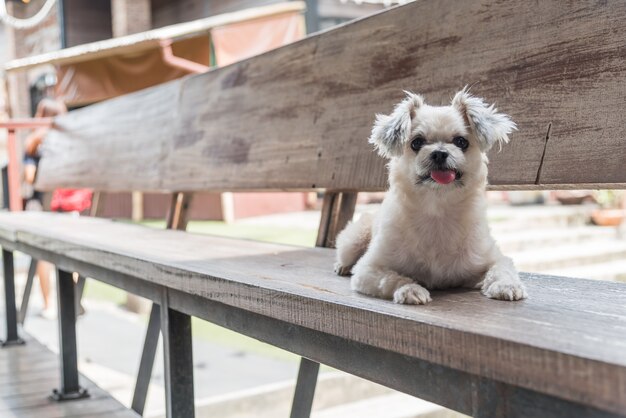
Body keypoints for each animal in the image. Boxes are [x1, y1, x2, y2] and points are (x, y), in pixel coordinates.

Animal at [334, 87, 524, 304]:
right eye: (417, 143)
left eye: (461, 142)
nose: (439, 153)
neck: (437, 209)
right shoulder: (368, 270)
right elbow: (392, 278)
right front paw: (410, 289)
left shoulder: (491, 258)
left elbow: (500, 270)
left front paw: (506, 286)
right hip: (353, 241)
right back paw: (342, 266)